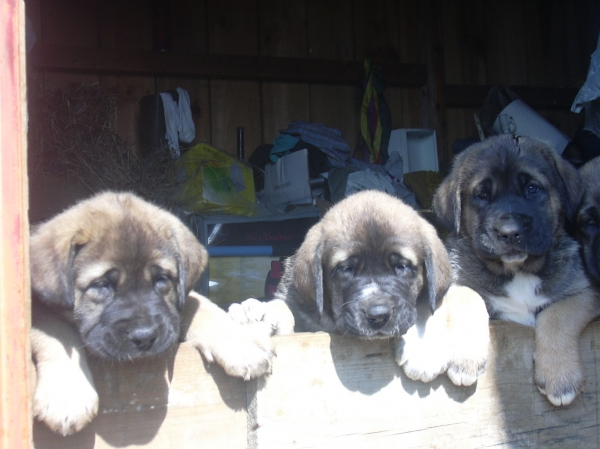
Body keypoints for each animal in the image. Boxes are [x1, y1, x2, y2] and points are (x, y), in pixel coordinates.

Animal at [28, 192, 272, 434]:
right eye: (102, 284)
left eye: (161, 280)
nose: (144, 337)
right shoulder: (36, 309)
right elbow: (57, 332)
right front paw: (67, 396)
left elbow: (199, 305)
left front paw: (242, 345)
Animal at [229, 189, 488, 384]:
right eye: (345, 269)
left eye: (402, 266)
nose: (378, 315)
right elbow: (283, 305)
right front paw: (257, 312)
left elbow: (439, 302)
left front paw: (426, 353)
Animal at [434, 135, 596, 404]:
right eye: (482, 195)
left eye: (532, 189)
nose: (510, 232)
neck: (518, 271)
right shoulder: (458, 281)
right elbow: (470, 297)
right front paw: (465, 360)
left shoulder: (583, 291)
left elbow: (558, 315)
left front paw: (560, 377)